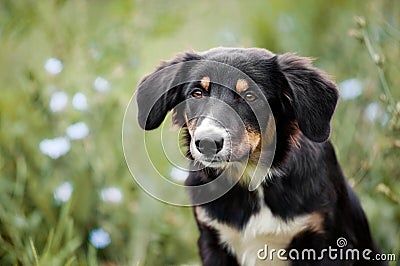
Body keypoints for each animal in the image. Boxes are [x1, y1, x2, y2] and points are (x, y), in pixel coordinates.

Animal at [136, 48, 386, 266]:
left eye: (249, 95)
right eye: (196, 93)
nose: (207, 143)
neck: (252, 179)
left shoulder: (328, 243)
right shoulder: (212, 241)